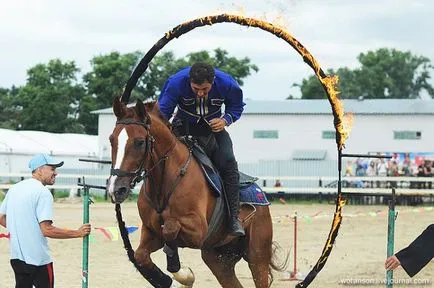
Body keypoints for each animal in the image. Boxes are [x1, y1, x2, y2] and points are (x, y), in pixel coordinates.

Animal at [107, 97, 286, 288]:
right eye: (111, 140)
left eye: (140, 141)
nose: (116, 189)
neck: (165, 185)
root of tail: (260, 194)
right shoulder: (151, 231)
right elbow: (141, 255)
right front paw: (174, 278)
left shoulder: (197, 232)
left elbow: (170, 228)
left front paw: (183, 275)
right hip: (218, 259)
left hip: (257, 255)